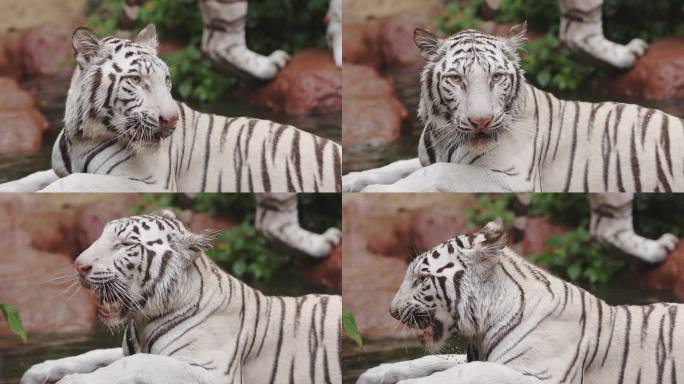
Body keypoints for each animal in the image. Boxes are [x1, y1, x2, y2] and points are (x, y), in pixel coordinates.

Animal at [0, 24, 340, 192]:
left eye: (166, 80)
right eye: (136, 80)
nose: (170, 121)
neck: (83, 135)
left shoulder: (150, 182)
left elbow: (76, 182)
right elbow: (33, 179)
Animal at [21, 210, 342, 384]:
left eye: (125, 244)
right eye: (102, 236)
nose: (79, 264)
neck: (142, 321)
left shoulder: (214, 373)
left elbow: (134, 364)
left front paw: (69, 381)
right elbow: (97, 354)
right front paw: (39, 371)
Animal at [344, 24, 684, 192]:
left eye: (497, 77)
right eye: (456, 78)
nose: (481, 121)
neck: (445, 139)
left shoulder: (512, 179)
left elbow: (439, 173)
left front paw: (375, 193)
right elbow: (394, 167)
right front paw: (349, 181)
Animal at [356, 219, 684, 384]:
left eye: (422, 278)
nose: (391, 311)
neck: (482, 328)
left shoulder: (541, 376)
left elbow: (463, 373)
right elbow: (433, 360)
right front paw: (373, 374)